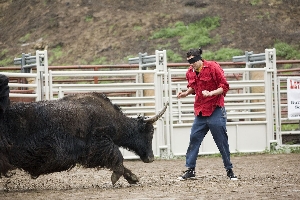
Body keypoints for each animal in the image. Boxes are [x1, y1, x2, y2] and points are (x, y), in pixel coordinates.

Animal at [0, 74, 169, 184]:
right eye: (150, 132)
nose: (151, 158)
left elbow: (117, 160)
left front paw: (132, 178)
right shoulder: (99, 144)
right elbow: (117, 157)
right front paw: (116, 177)